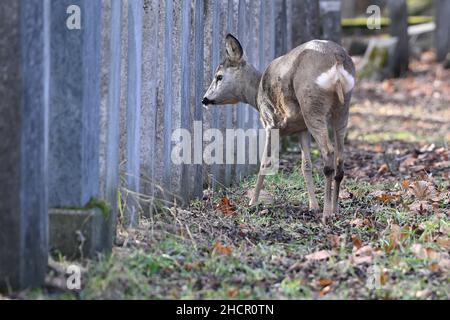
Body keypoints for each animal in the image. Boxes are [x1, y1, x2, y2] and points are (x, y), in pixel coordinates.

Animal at [204, 34, 356, 222]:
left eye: (219, 76)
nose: (204, 99)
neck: (256, 95)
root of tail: (336, 59)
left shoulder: (270, 123)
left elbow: (264, 162)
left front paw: (252, 202)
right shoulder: (301, 129)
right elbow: (305, 165)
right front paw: (313, 206)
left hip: (312, 104)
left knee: (328, 151)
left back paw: (326, 213)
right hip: (342, 107)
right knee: (340, 156)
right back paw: (335, 210)